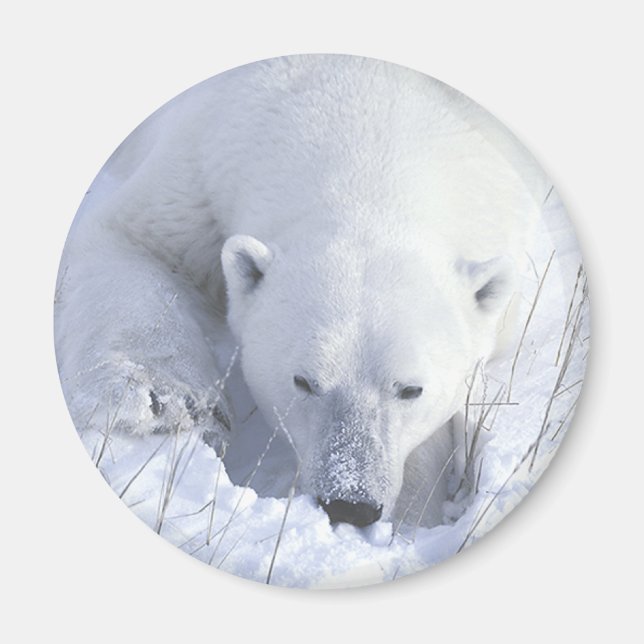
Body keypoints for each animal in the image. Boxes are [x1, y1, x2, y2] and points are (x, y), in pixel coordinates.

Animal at [55, 55, 550, 528]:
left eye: (411, 389)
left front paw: (413, 511)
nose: (350, 504)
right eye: (304, 381)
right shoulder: (203, 167)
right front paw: (165, 400)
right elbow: (132, 240)